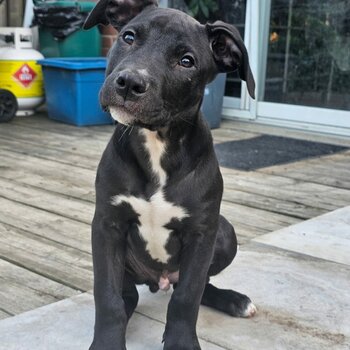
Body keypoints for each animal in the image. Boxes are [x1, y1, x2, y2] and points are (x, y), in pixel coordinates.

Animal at [83, 1, 256, 348]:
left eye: (186, 61)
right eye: (128, 37)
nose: (129, 82)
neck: (156, 143)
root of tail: (158, 280)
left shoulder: (202, 233)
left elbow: (187, 298)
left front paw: (181, 342)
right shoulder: (106, 225)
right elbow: (106, 296)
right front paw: (107, 341)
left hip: (224, 233)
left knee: (197, 287)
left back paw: (233, 300)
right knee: (127, 295)